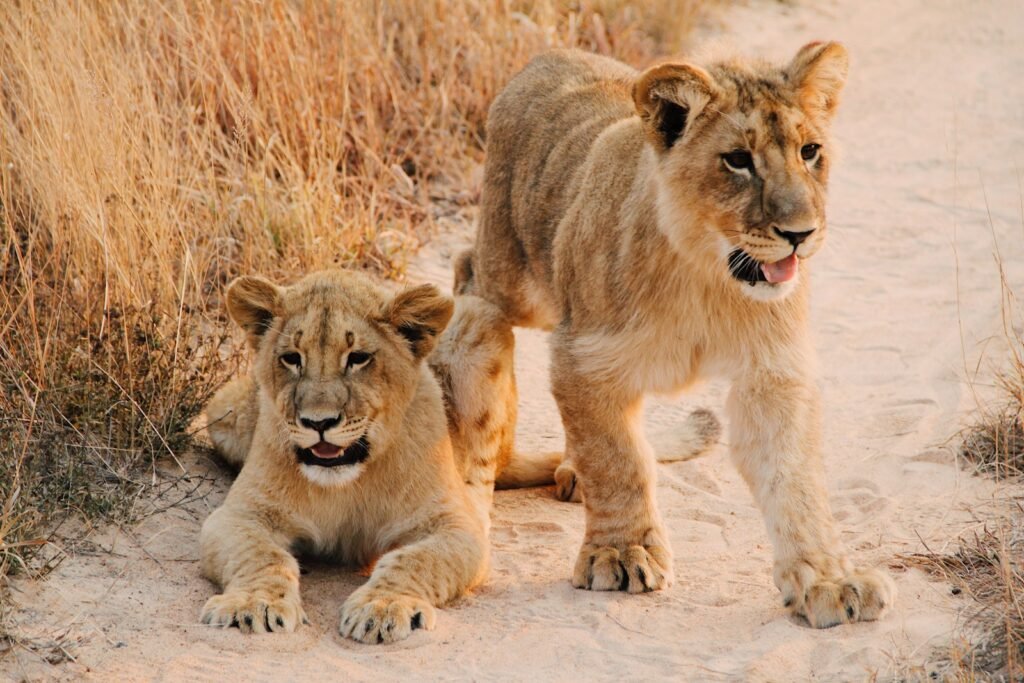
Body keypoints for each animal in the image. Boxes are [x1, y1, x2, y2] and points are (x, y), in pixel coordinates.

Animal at [199, 270, 555, 643]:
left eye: (358, 358)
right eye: (292, 358)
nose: (318, 422)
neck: (345, 483)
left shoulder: (452, 525)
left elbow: (415, 560)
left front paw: (384, 607)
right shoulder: (239, 515)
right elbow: (261, 555)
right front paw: (254, 603)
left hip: (476, 317)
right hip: (224, 408)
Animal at [456, 43, 896, 628]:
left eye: (810, 151)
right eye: (737, 160)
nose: (800, 234)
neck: (705, 274)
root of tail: (551, 53)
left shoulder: (773, 372)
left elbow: (794, 477)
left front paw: (827, 580)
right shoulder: (585, 356)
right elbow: (617, 458)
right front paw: (621, 553)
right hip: (511, 276)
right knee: (467, 269)